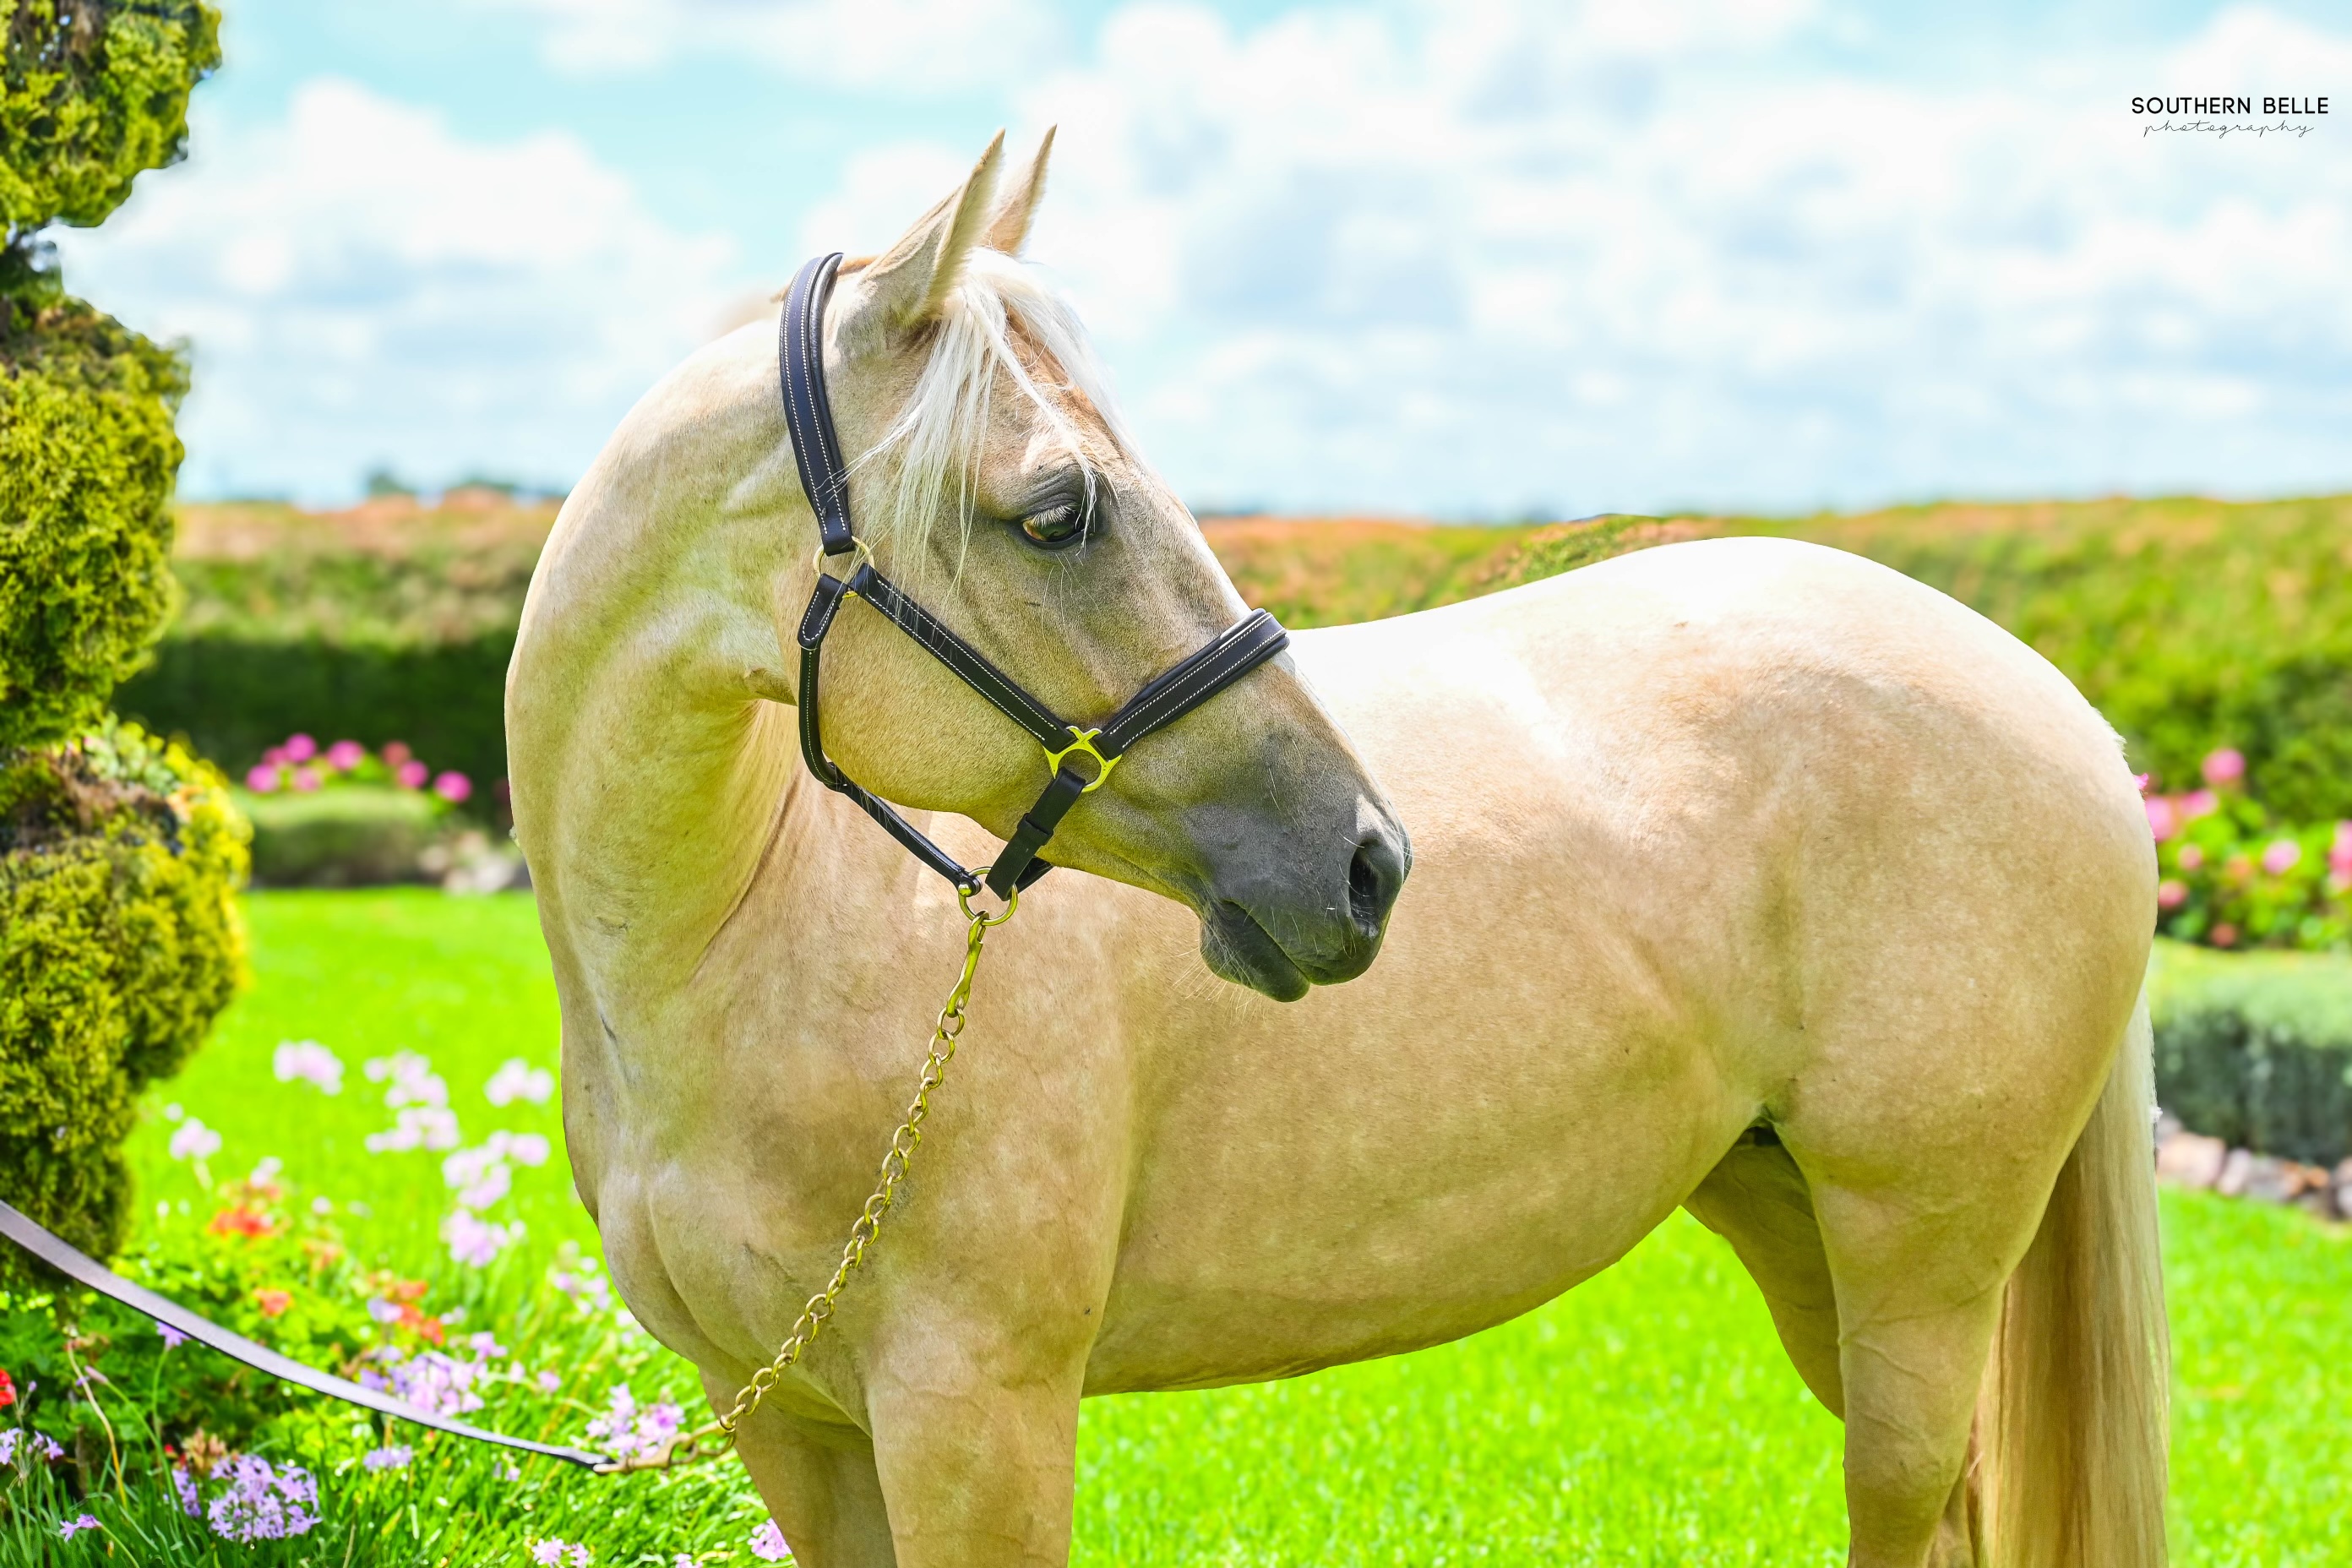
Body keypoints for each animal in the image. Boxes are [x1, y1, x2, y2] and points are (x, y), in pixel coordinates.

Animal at [507, 132, 2166, 1568]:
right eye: (1056, 512)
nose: (1366, 861)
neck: (741, 938)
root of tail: (2070, 710)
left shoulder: (973, 1413)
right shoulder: (787, 1421)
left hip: (1919, 1263)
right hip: (1793, 1221)